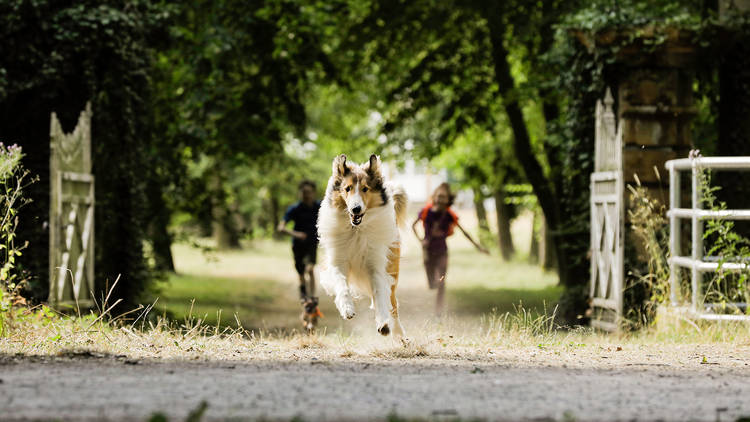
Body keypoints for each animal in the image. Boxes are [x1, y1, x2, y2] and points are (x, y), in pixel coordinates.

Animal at [318, 153, 412, 338]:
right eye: (347, 188)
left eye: (365, 189)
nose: (356, 209)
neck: (356, 230)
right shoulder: (338, 262)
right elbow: (342, 285)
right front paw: (347, 309)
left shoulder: (375, 266)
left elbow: (380, 293)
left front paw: (383, 323)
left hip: (392, 271)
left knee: (393, 304)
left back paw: (398, 332)